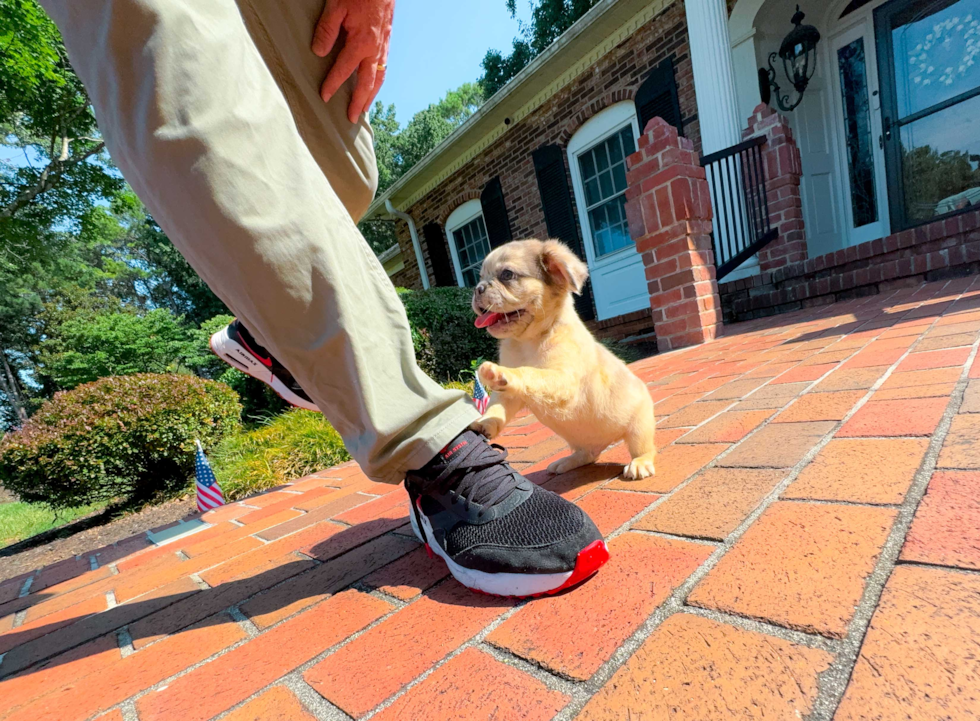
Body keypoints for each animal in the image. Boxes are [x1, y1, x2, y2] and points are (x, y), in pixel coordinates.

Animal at [468, 239, 656, 480]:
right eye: (480, 277)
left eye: (507, 275)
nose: (477, 289)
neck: (527, 341)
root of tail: (604, 442)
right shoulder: (508, 396)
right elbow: (496, 408)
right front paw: (485, 423)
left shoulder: (564, 381)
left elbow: (530, 373)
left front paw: (499, 373)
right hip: (582, 442)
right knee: (588, 454)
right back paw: (567, 461)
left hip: (639, 427)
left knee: (644, 448)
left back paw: (640, 463)